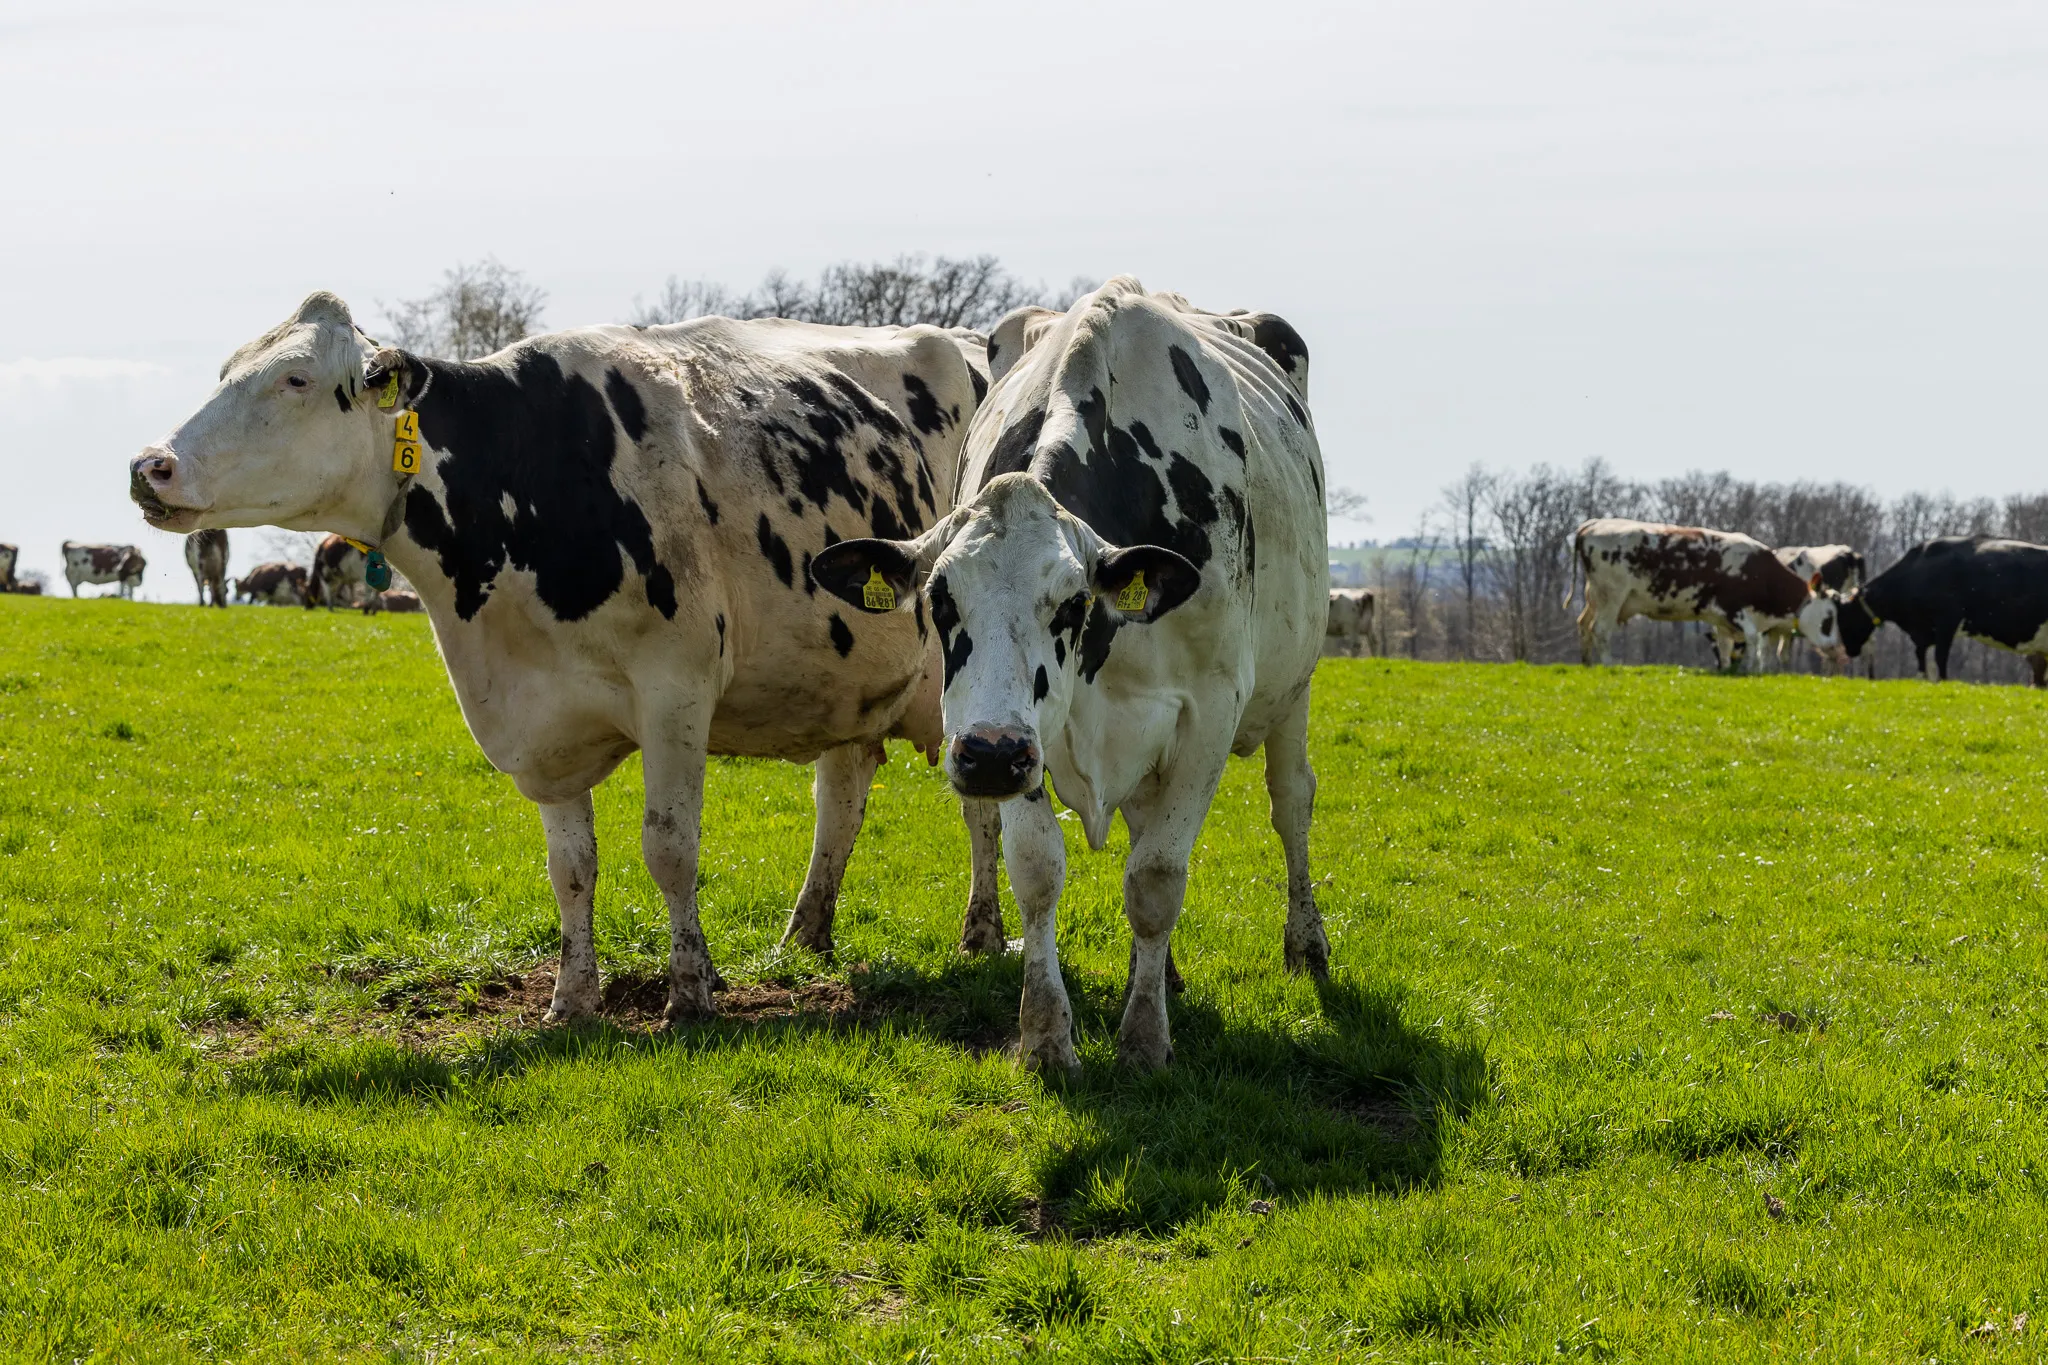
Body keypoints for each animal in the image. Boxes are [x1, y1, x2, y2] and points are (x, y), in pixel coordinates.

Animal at [132, 290, 990, 1025]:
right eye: (226, 369)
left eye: (296, 378)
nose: (149, 466)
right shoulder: (540, 719)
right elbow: (570, 867)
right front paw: (573, 999)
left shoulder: (676, 690)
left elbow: (670, 848)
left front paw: (690, 991)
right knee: (841, 797)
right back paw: (805, 933)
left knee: (979, 804)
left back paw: (980, 932)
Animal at [810, 277, 1330, 1073]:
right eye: (938, 599)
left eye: (1073, 601)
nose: (988, 757)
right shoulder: (1029, 735)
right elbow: (1037, 868)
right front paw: (1048, 1034)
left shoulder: (1210, 710)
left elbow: (1156, 878)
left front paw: (1144, 1039)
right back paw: (1164, 973)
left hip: (1292, 685)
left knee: (1291, 801)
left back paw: (1305, 944)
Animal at [1568, 519, 1841, 672]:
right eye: (1829, 618)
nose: (1834, 647)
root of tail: (1593, 524)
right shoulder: (1736, 609)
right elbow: (1753, 640)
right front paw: (1753, 670)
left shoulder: (1721, 618)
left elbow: (1725, 646)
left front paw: (1729, 669)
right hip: (1612, 596)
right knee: (1600, 630)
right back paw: (1608, 665)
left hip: (1594, 595)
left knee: (1583, 624)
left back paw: (1587, 663)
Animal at [1837, 535, 2048, 686]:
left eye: (1845, 617)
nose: (1849, 650)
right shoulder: (1922, 631)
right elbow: (1920, 655)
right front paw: (1923, 678)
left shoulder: (1947, 621)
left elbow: (1940, 655)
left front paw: (1943, 680)